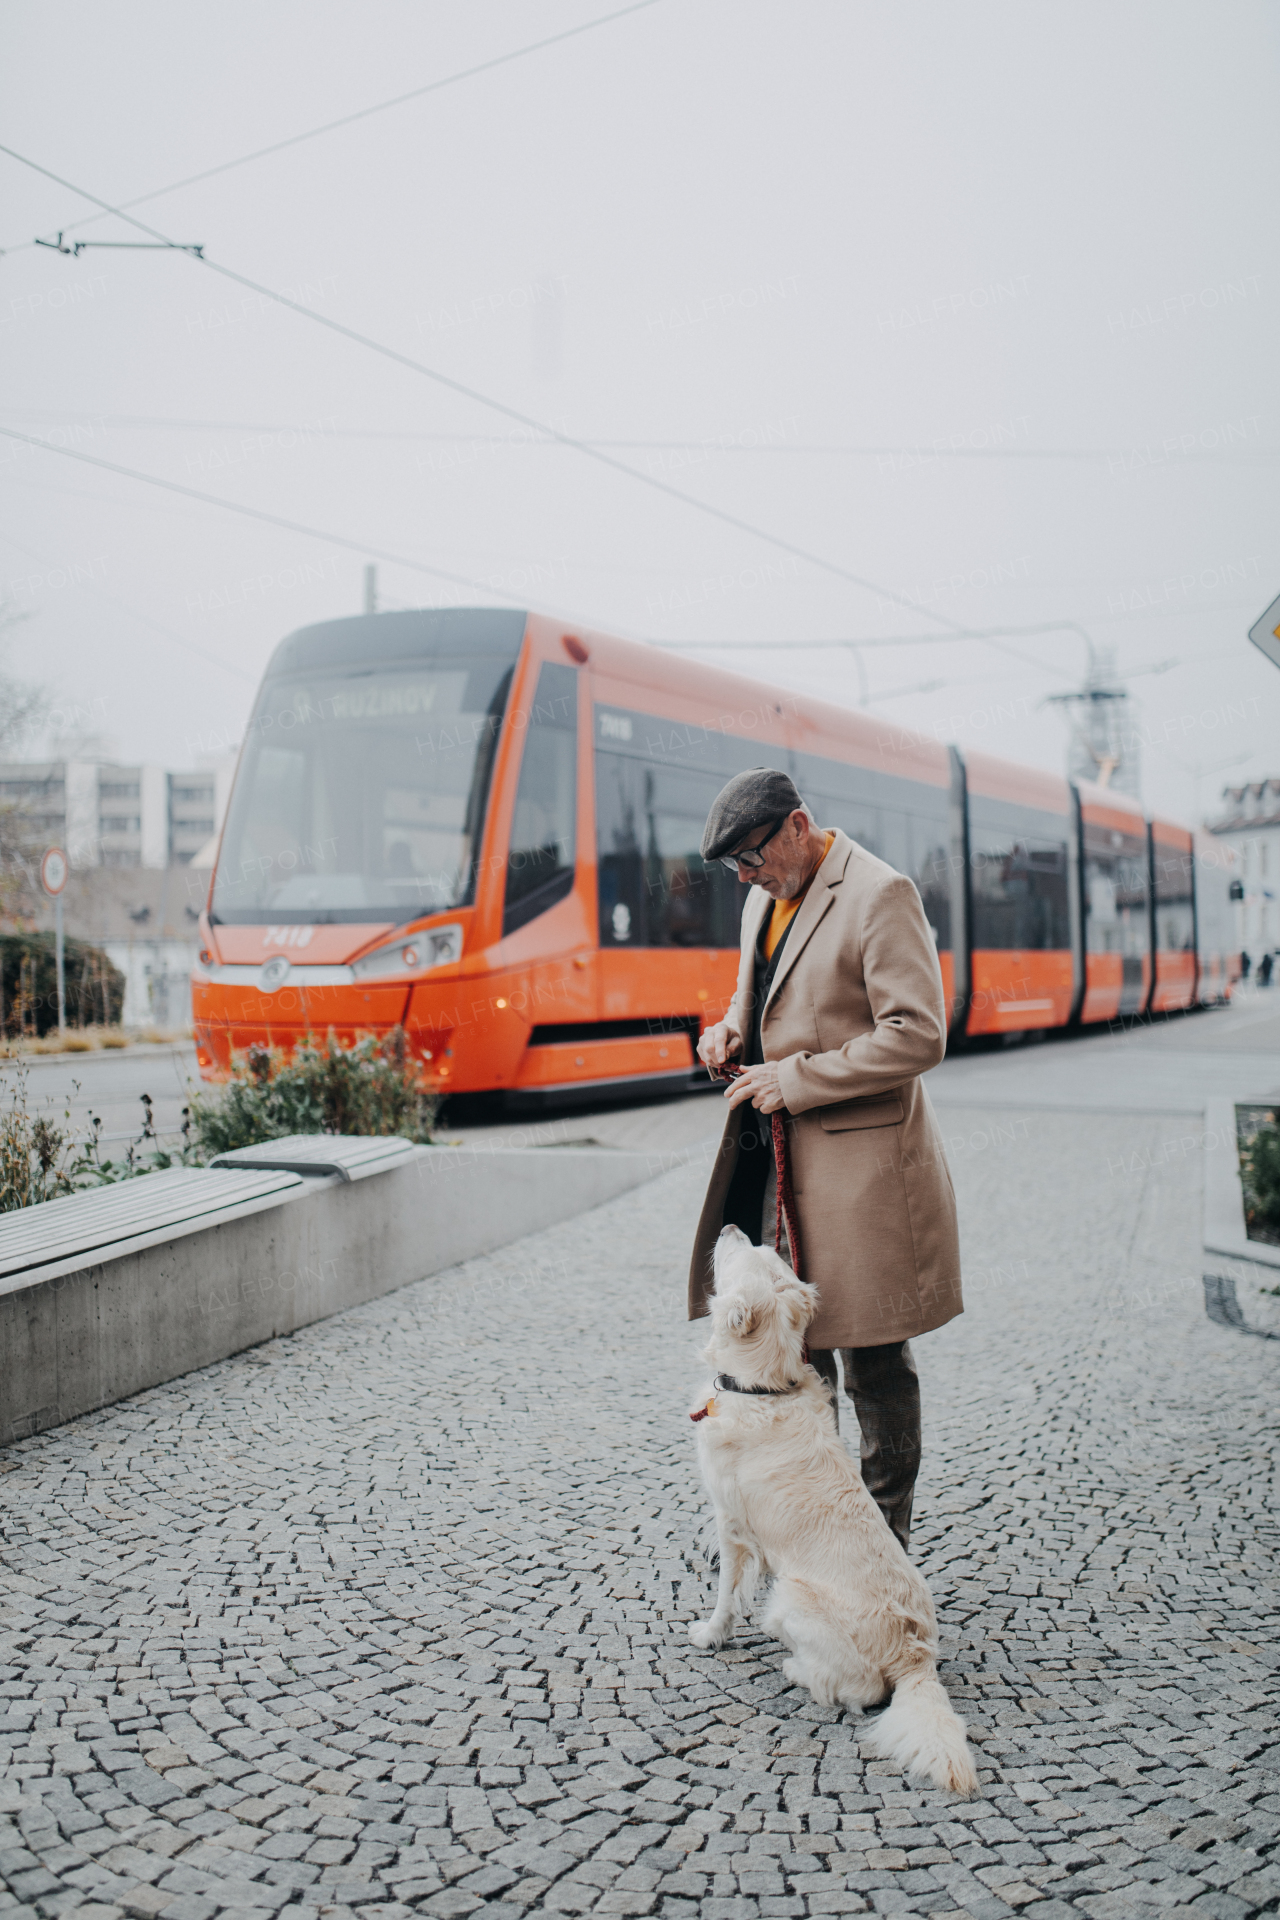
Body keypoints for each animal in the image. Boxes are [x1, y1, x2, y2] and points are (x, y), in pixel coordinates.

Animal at [690, 1228, 982, 1797]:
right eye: (769, 1253)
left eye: (746, 1256)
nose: (732, 1229)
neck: (763, 1388)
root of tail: (915, 1657)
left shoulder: (732, 1525)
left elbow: (727, 1595)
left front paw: (712, 1635)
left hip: (789, 1599)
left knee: (859, 1690)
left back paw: (796, 1670)